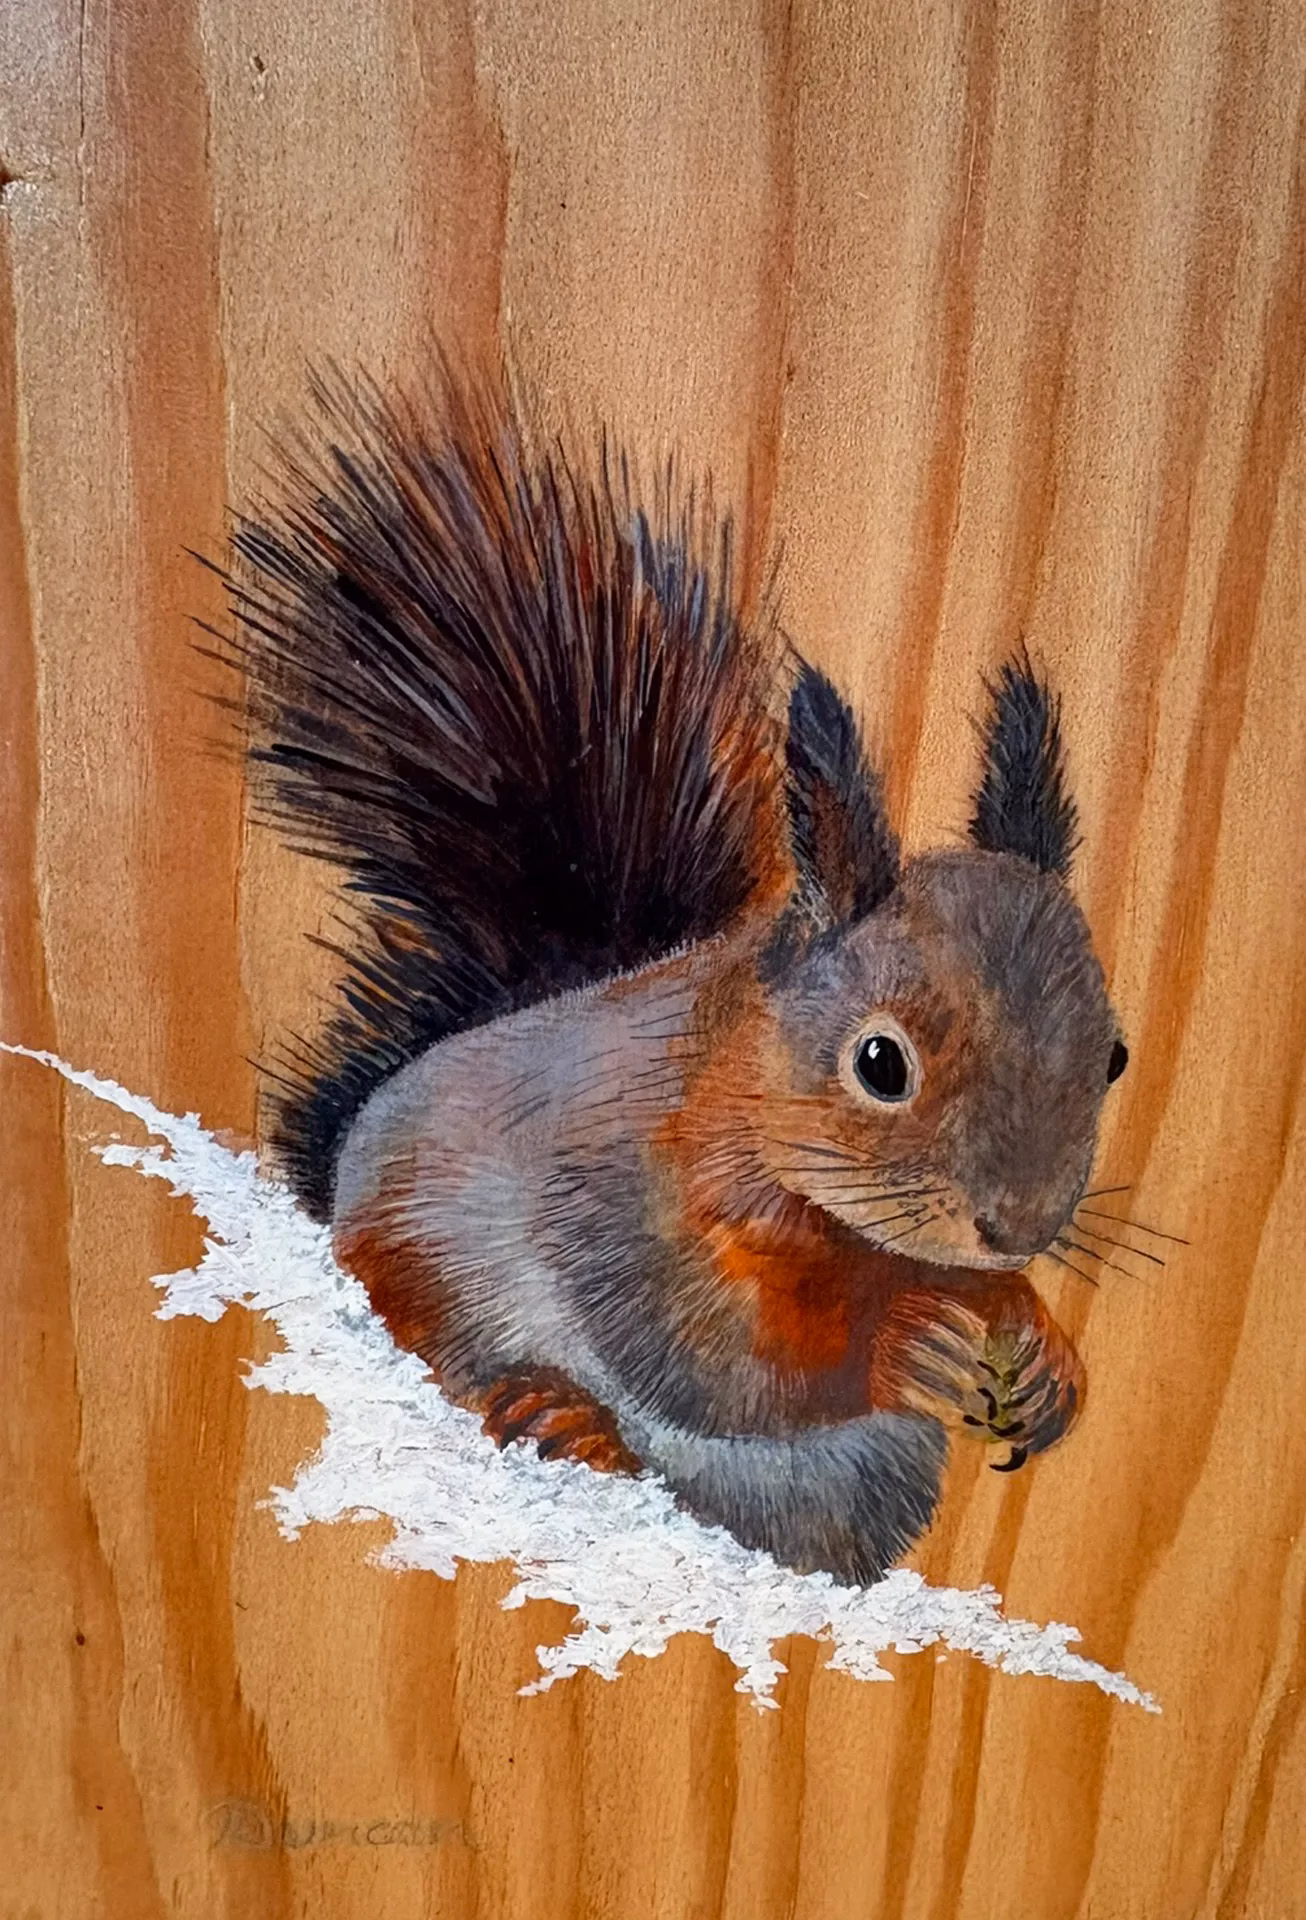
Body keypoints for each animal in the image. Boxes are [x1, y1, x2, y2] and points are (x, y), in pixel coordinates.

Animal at [222, 369, 1128, 1586]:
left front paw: (1042, 1350)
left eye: (1114, 1057)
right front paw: (907, 1347)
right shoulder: (618, 1198)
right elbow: (713, 1363)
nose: (1017, 1226)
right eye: (879, 1062)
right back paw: (557, 1413)